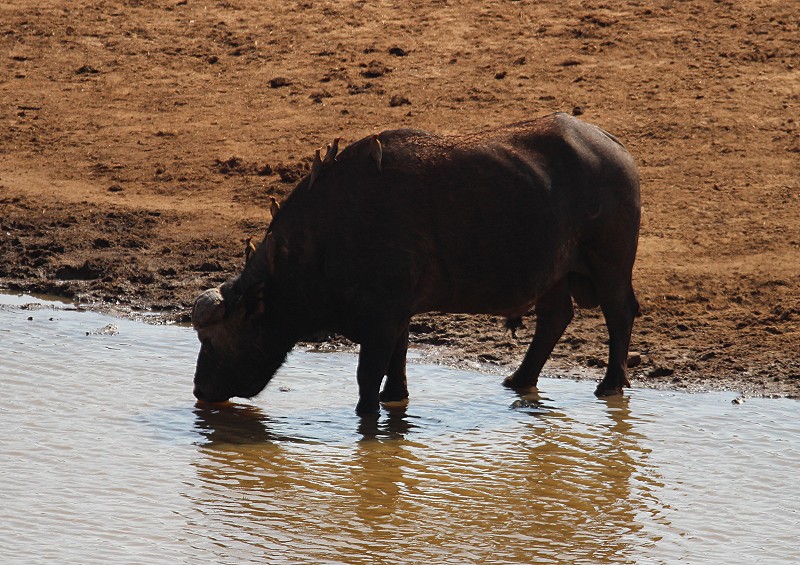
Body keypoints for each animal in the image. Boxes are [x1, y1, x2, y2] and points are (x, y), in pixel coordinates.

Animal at [191, 113, 640, 414]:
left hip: (611, 263)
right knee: (556, 316)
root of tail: (616, 149)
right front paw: (395, 397)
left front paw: (368, 414)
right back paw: (520, 379)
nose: (199, 390)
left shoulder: (381, 317)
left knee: (620, 313)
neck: (326, 239)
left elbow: (368, 375)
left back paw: (610, 384)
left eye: (210, 341)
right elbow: (399, 358)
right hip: (554, 274)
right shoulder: (399, 313)